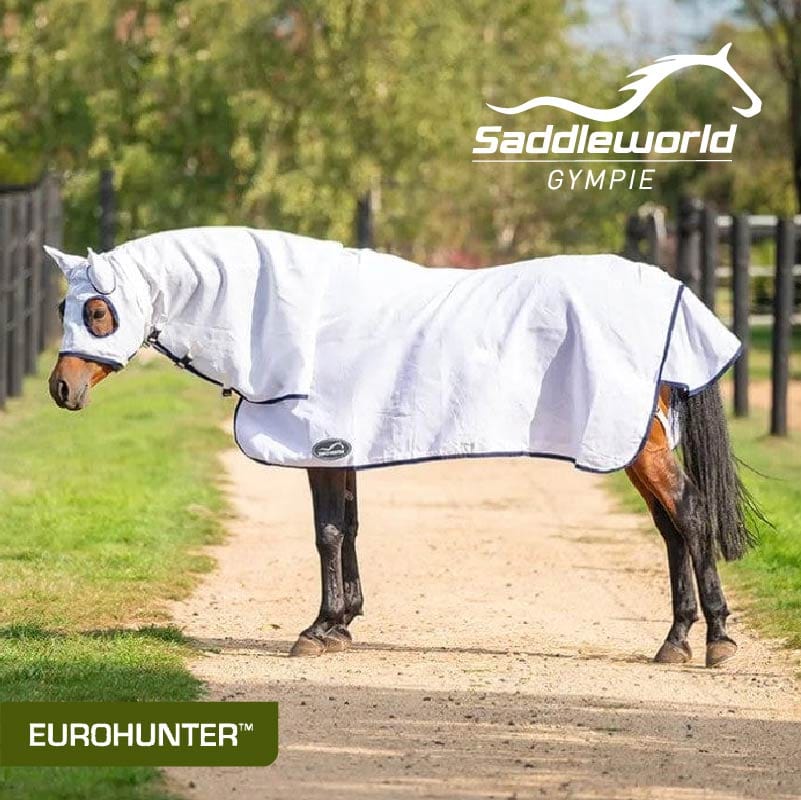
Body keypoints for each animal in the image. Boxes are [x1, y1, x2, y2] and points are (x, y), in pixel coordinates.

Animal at [44, 228, 762, 668]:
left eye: (99, 312)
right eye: (62, 308)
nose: (60, 389)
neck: (293, 322)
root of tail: (673, 292)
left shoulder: (318, 446)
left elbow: (328, 534)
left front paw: (318, 631)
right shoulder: (342, 450)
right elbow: (350, 528)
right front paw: (342, 622)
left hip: (637, 444)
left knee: (689, 514)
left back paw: (715, 640)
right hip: (635, 444)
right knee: (672, 527)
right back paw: (677, 640)